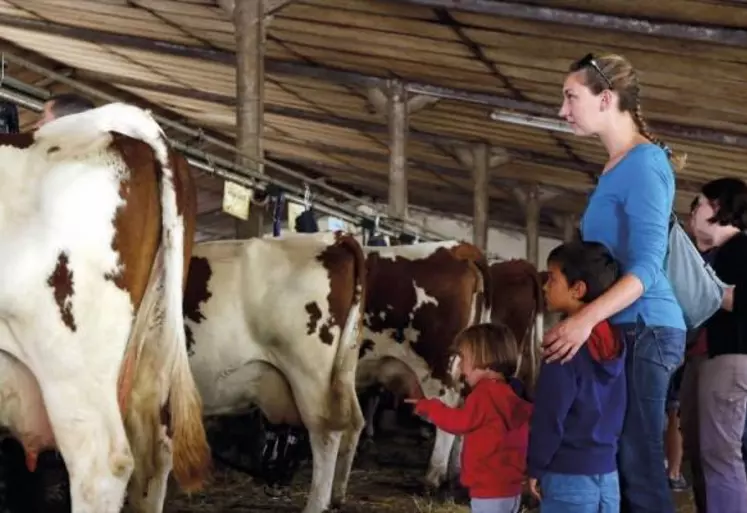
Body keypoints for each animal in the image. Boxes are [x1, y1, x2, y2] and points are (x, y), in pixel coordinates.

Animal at [183, 231, 366, 512]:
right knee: (354, 422)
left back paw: (316, 505)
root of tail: (333, 237)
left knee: (326, 431)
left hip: (310, 375)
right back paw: (337, 496)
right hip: (344, 368)